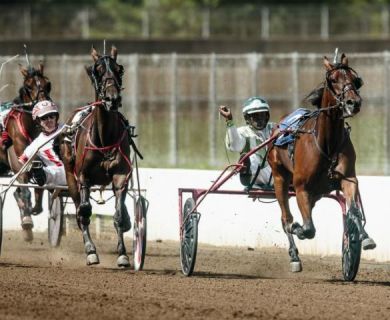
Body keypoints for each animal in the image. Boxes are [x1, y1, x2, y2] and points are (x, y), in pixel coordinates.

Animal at [0, 63, 51, 241]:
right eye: (28, 86)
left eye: (48, 84)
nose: (43, 104)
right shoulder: (19, 164)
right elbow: (24, 190)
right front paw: (28, 219)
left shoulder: (38, 163)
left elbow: (38, 185)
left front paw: (34, 209)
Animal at [61, 46, 133, 266]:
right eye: (98, 71)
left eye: (119, 69)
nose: (112, 99)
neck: (104, 137)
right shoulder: (83, 177)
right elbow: (84, 211)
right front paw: (91, 251)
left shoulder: (121, 176)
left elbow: (119, 215)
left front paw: (123, 254)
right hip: (70, 177)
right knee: (80, 209)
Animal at [268, 53, 374, 274]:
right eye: (333, 79)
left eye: (355, 80)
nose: (353, 102)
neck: (327, 143)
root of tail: (279, 125)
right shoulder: (301, 188)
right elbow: (308, 228)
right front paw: (299, 229)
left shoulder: (348, 179)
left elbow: (353, 211)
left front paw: (363, 236)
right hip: (280, 178)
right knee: (285, 218)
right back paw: (294, 254)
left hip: (316, 193)